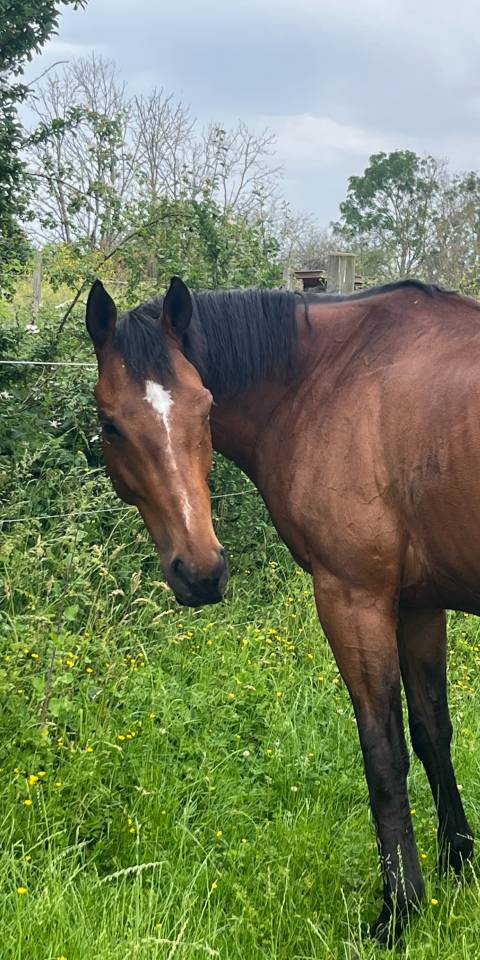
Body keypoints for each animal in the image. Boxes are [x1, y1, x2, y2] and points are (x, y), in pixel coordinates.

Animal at [86, 275, 480, 941]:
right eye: (111, 425)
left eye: (206, 408)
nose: (200, 572)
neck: (328, 377)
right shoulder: (417, 605)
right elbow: (432, 732)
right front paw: (459, 864)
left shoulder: (353, 598)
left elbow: (384, 754)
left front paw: (398, 911)